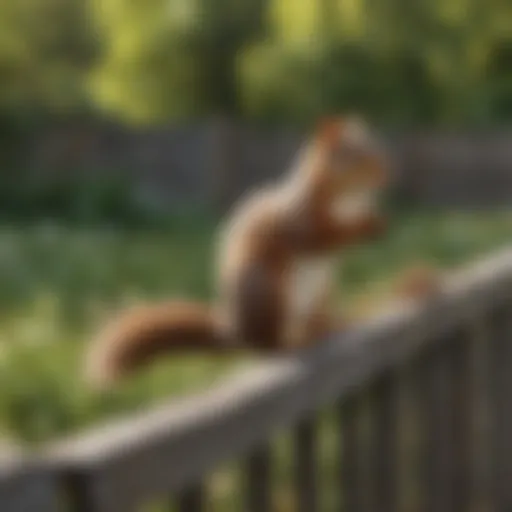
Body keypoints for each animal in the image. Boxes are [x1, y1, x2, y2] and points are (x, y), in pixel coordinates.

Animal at [84, 116, 440, 388]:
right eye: (357, 156)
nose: (388, 170)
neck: (346, 199)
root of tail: (237, 332)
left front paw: (378, 220)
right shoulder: (299, 218)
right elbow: (320, 238)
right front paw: (369, 225)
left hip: (322, 292)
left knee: (316, 325)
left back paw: (333, 328)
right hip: (268, 289)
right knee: (268, 346)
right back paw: (292, 344)